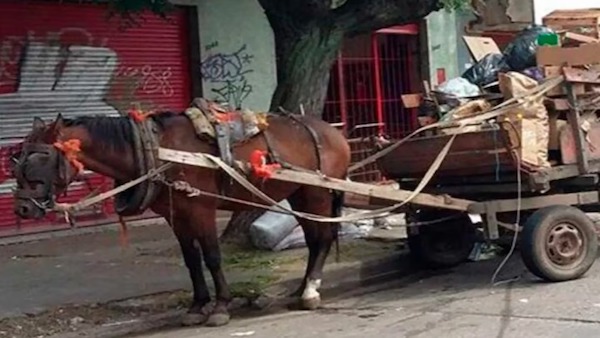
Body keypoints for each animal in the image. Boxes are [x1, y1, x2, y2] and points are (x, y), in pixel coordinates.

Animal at [11, 111, 352, 328]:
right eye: (17, 157)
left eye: (40, 156)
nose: (23, 210)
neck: (158, 150)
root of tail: (335, 132)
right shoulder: (175, 216)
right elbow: (191, 260)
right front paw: (197, 306)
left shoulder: (200, 207)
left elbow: (212, 257)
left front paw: (220, 307)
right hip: (300, 194)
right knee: (313, 239)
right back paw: (302, 288)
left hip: (318, 193)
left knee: (322, 239)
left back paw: (310, 292)